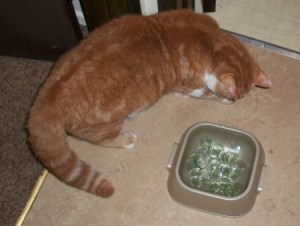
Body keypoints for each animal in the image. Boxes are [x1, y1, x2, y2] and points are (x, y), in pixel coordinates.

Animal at [27, 9, 272, 197]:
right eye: (238, 97)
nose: (237, 99)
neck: (211, 40)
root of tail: (46, 101)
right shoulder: (194, 85)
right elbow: (204, 93)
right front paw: (221, 99)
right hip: (107, 125)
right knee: (103, 139)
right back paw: (125, 138)